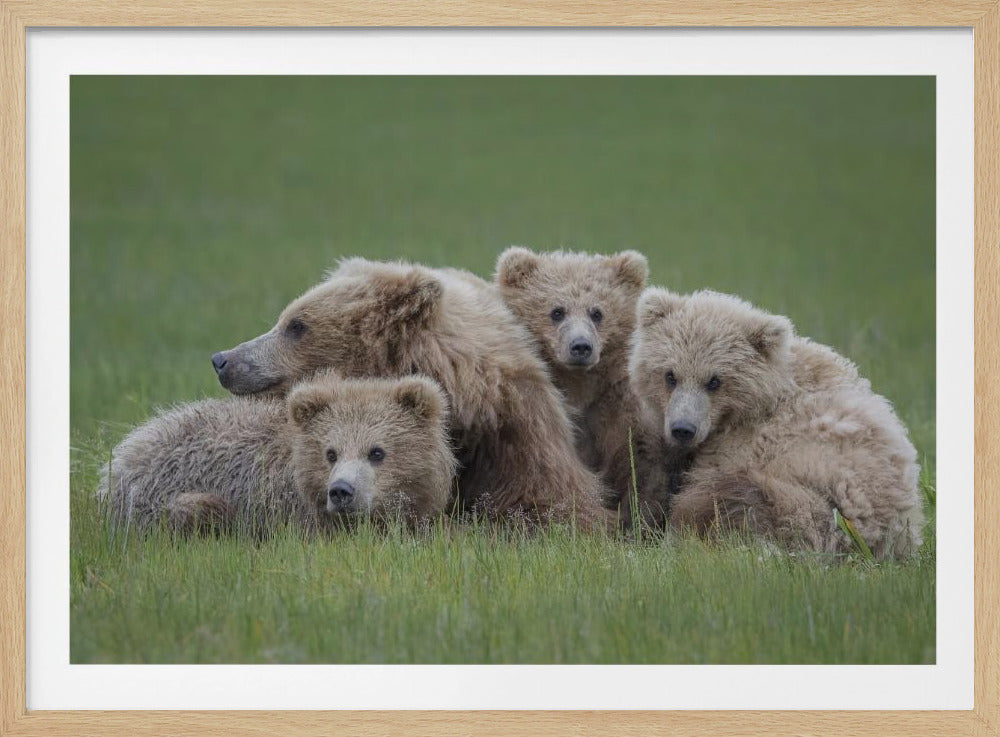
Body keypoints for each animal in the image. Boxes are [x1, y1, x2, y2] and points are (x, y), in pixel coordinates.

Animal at [495, 247, 674, 528]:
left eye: (597, 312)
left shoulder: (614, 405)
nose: (581, 346)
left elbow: (637, 460)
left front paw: (637, 518)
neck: (579, 386)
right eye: (557, 311)